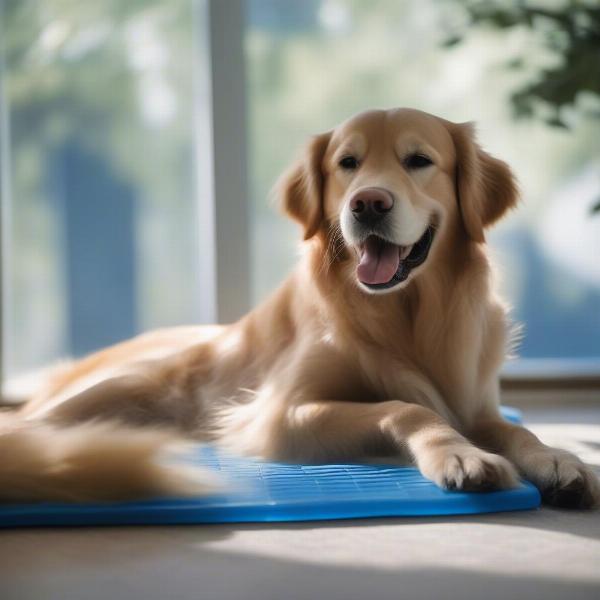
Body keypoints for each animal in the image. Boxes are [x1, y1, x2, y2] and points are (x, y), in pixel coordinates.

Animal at [0, 108, 596, 506]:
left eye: (419, 161)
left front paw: (558, 458)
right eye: (347, 163)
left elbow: (516, 430)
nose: (368, 203)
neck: (404, 315)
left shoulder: (476, 404)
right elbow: (406, 407)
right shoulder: (276, 414)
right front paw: (460, 454)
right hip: (112, 390)